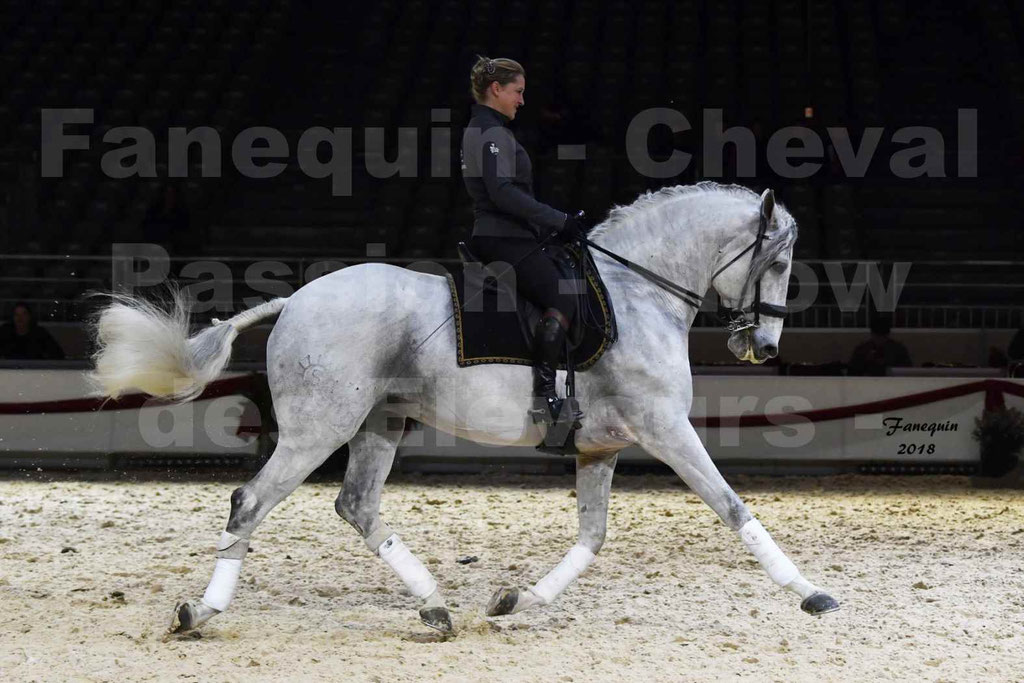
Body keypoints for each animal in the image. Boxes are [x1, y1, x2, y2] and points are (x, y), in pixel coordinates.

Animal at [89, 181, 839, 635]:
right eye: (778, 262)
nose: (763, 346)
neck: (639, 290)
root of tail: (296, 298)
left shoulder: (603, 444)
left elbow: (592, 537)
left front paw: (518, 599)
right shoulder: (665, 428)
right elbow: (733, 507)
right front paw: (810, 591)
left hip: (380, 422)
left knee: (357, 506)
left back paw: (434, 604)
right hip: (316, 429)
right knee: (250, 501)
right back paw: (203, 610)